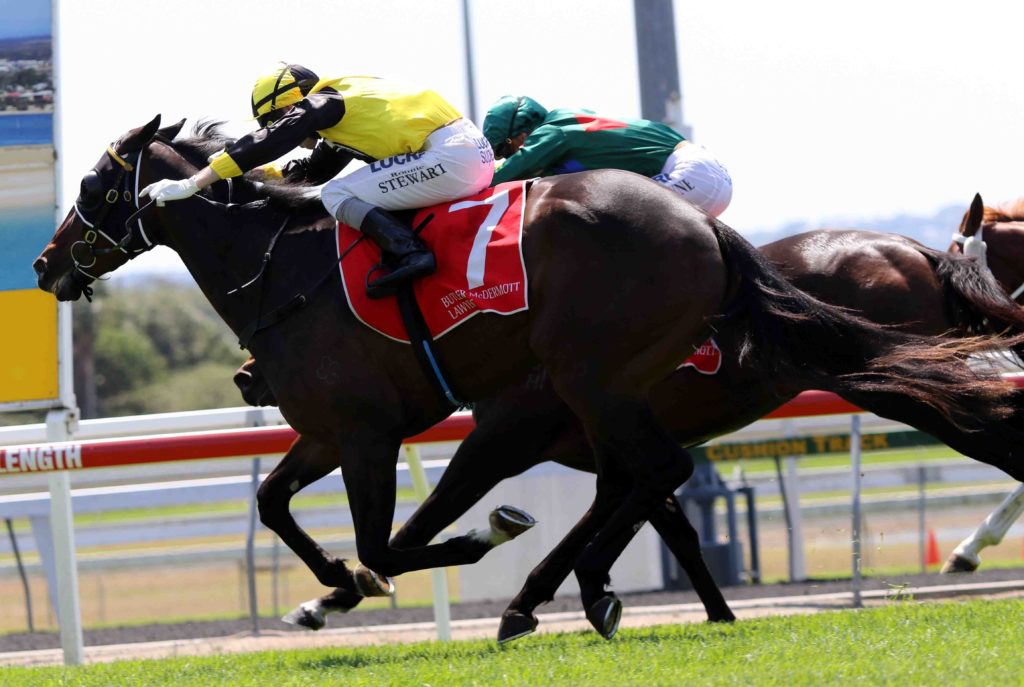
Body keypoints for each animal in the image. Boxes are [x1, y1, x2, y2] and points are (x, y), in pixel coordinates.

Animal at [278, 205, 1024, 640]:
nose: (257, 377)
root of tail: (916, 250)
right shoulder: (608, 438)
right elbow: (663, 522)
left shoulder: (513, 435)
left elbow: (428, 520)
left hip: (897, 384)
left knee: (998, 436)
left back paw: (970, 548)